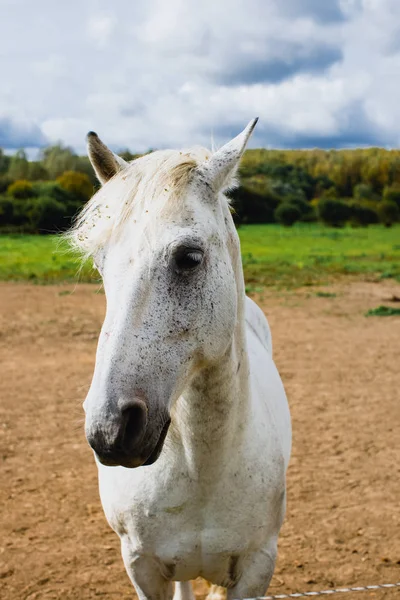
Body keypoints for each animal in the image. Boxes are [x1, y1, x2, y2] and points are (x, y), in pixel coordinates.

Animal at [69, 118, 290, 600]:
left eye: (189, 257)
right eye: (101, 265)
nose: (109, 430)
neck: (202, 469)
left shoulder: (257, 567)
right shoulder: (142, 567)